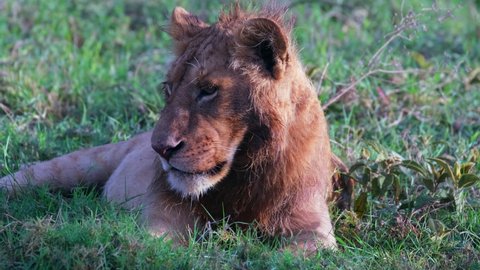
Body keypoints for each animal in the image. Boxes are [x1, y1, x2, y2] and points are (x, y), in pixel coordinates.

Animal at [0, 5, 352, 252]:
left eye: (208, 90)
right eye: (168, 88)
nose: (161, 149)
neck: (245, 169)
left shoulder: (309, 225)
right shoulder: (163, 212)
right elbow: (154, 244)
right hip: (73, 167)